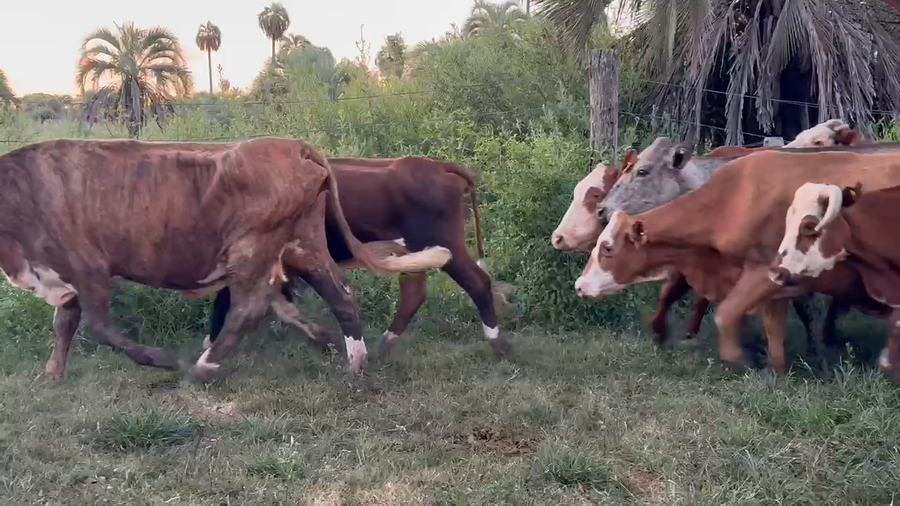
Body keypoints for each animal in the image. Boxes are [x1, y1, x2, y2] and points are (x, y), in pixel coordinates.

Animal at [0, 137, 450, 382]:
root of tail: (293, 145)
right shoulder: (62, 274)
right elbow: (65, 323)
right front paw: (52, 372)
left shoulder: (87, 266)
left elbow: (97, 326)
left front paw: (160, 359)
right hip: (302, 243)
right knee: (340, 294)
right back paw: (352, 361)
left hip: (251, 246)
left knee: (248, 308)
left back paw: (203, 367)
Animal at [204, 155, 514, 362]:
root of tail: (436, 165)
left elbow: (228, 301)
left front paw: (210, 347)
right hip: (415, 251)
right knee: (414, 293)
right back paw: (386, 345)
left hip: (444, 244)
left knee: (477, 282)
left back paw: (499, 343)